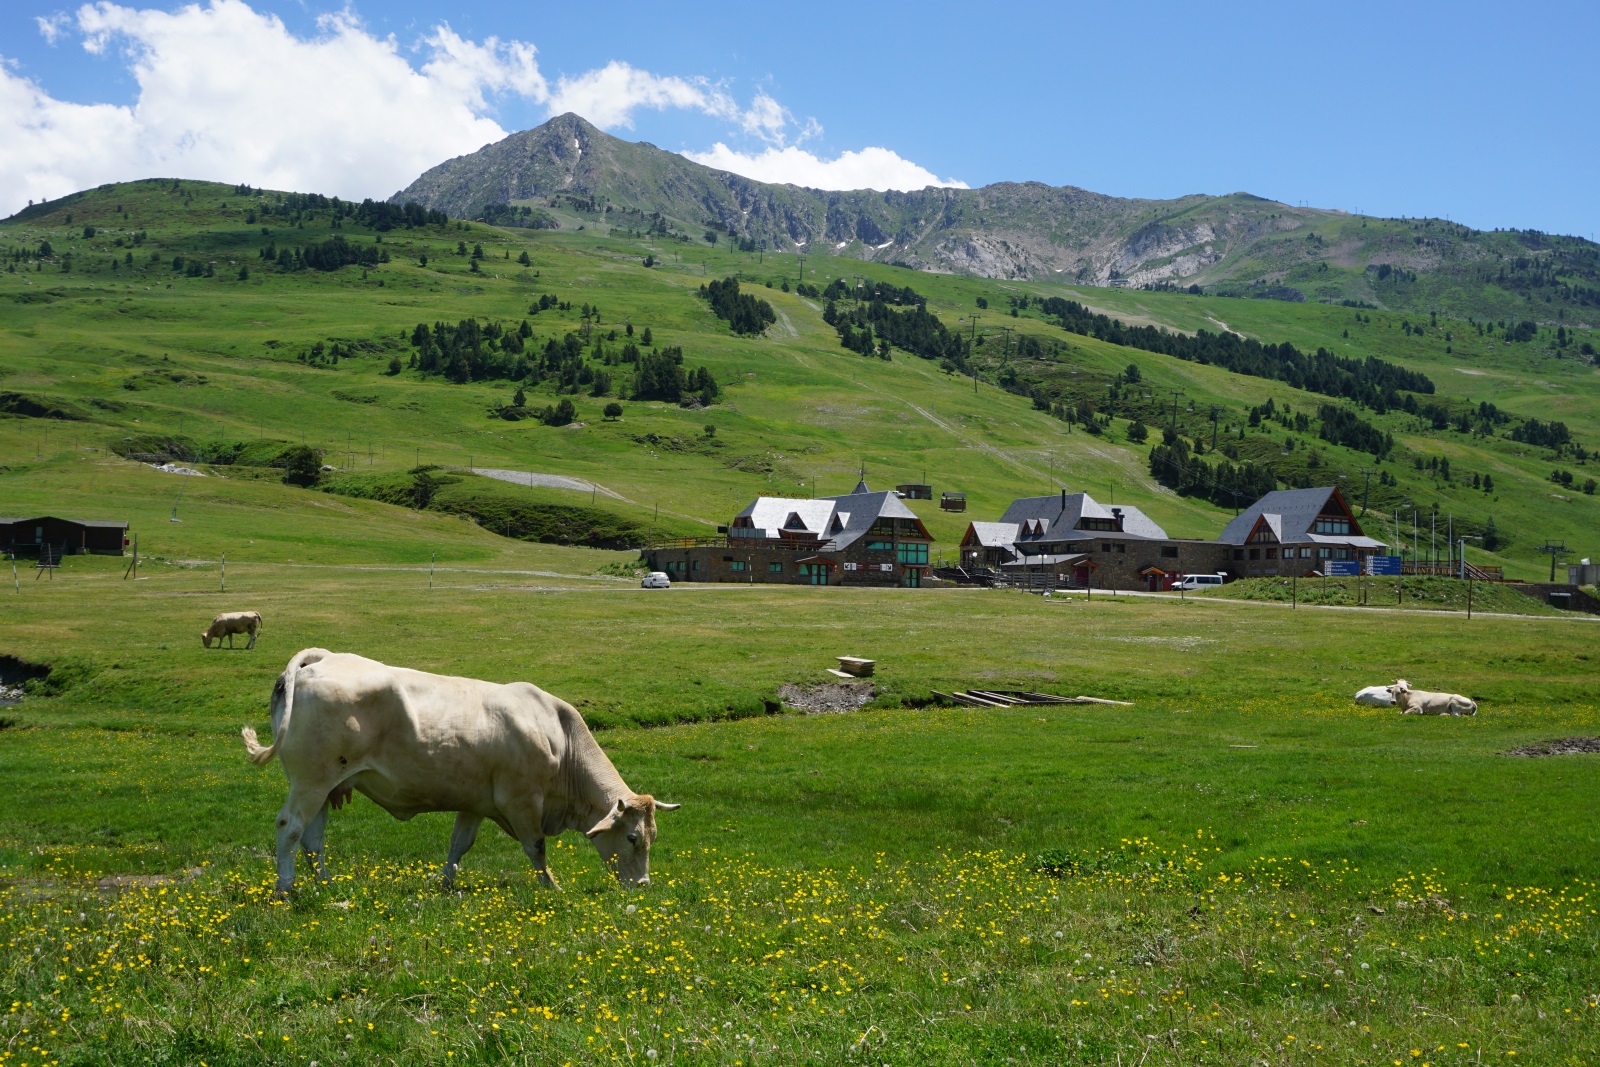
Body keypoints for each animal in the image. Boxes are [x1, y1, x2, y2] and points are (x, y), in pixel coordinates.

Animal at [240, 646, 678, 895]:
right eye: (634, 838)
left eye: (652, 836)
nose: (643, 886)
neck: (558, 735)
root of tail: (321, 659)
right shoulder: (522, 800)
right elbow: (536, 847)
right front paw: (551, 886)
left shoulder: (476, 802)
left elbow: (458, 845)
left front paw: (446, 883)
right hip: (311, 781)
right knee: (290, 827)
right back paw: (286, 889)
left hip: (327, 786)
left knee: (313, 838)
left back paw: (328, 886)